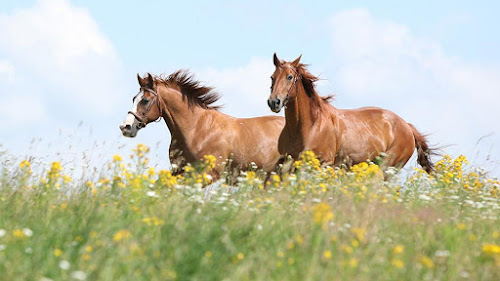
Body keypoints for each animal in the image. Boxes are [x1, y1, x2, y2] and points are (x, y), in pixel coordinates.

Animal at [119, 70, 286, 174]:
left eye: (145, 100)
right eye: (134, 99)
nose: (126, 127)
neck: (197, 129)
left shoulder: (209, 174)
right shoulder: (179, 170)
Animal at [268, 52, 436, 171]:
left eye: (290, 77)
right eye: (272, 77)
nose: (274, 102)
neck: (309, 125)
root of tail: (407, 126)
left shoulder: (324, 163)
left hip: (388, 168)